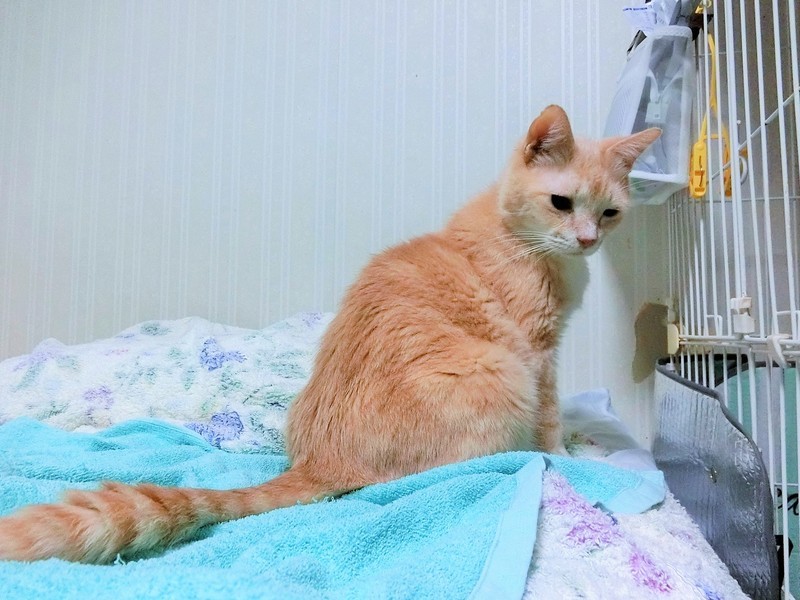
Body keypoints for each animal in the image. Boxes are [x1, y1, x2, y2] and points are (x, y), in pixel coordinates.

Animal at [0, 105, 659, 563]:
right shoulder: (538, 355)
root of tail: (323, 461)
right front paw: (564, 455)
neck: (518, 237)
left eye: (609, 213)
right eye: (561, 202)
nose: (587, 240)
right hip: (497, 373)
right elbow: (550, 419)